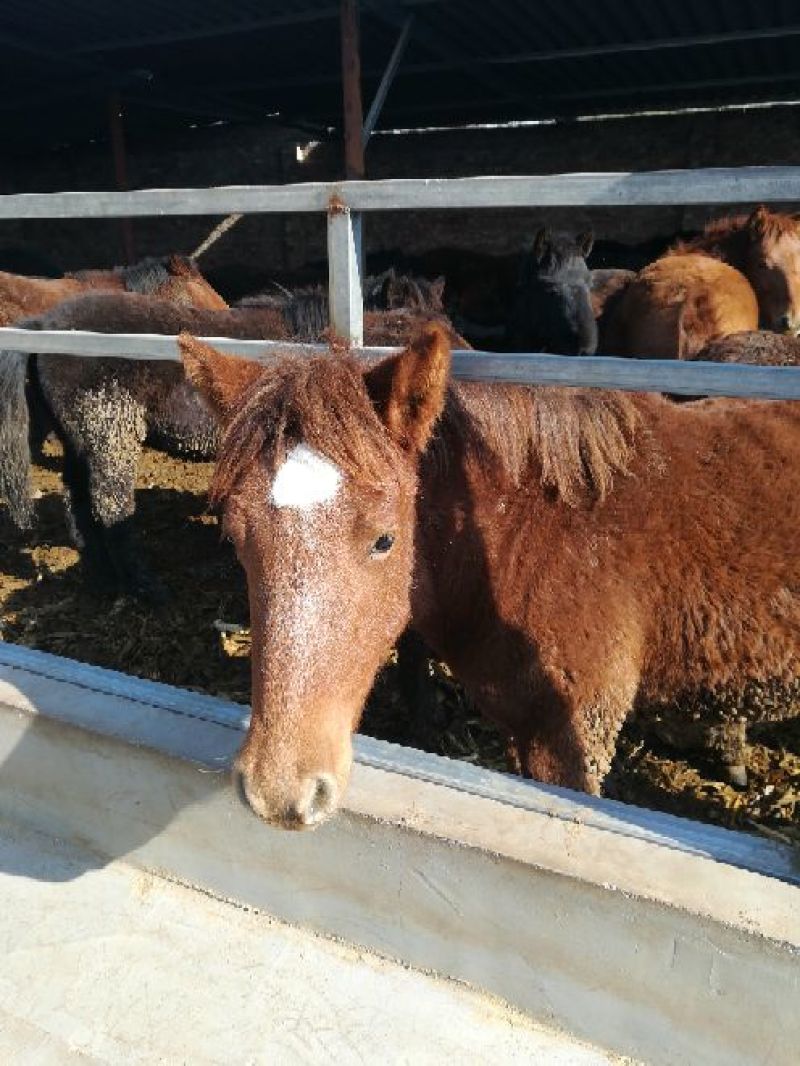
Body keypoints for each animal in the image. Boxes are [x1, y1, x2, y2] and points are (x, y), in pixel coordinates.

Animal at [0, 291, 466, 599]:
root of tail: (43, 328)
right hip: (108, 435)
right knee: (109, 504)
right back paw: (143, 586)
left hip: (78, 440)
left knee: (75, 498)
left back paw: (101, 577)